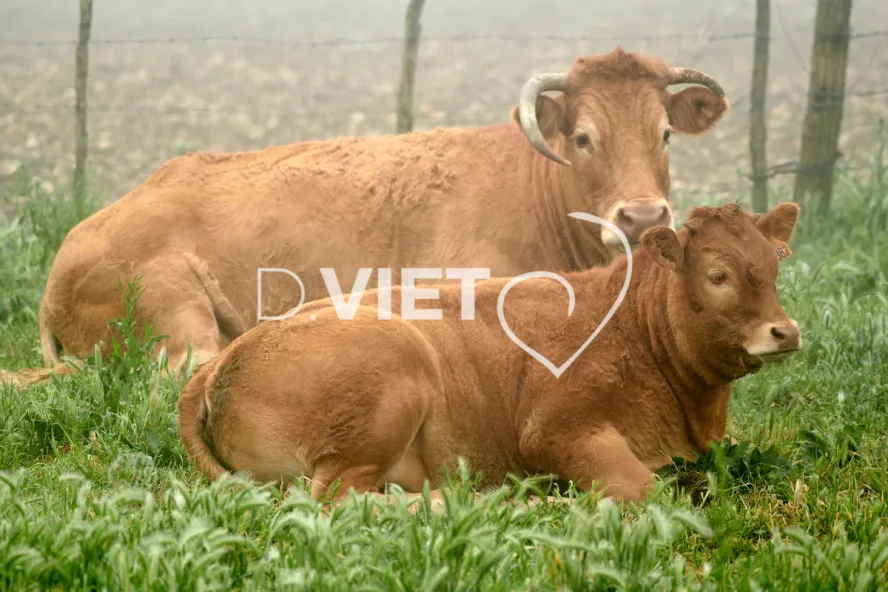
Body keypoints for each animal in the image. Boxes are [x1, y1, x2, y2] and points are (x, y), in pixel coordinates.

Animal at [177, 201, 802, 508]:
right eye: (718, 274)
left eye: (775, 265)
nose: (786, 332)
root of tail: (223, 359)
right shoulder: (553, 430)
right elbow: (649, 493)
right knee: (338, 502)